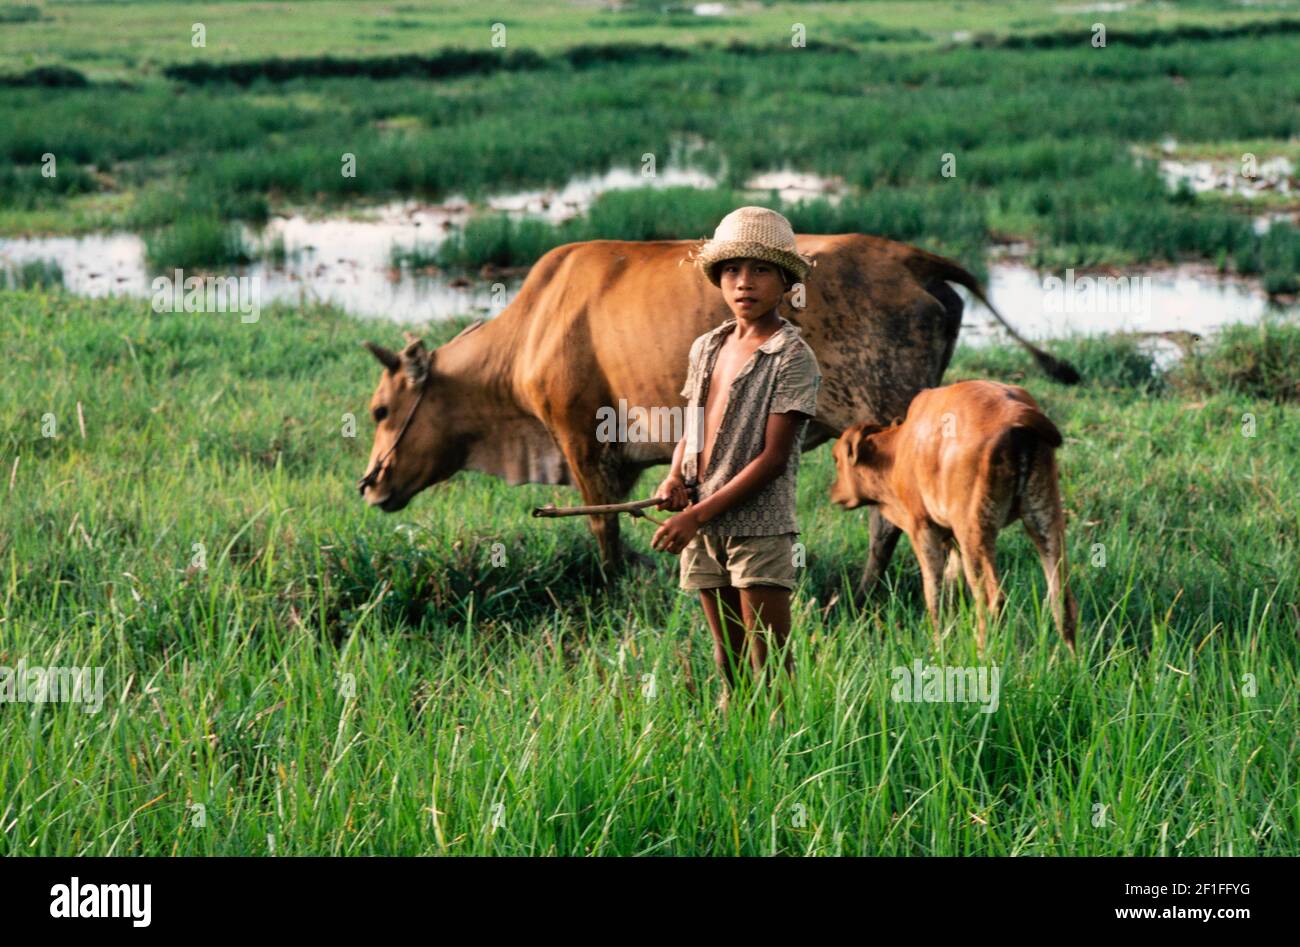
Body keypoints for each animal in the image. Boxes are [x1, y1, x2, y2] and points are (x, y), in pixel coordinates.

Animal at [356, 234, 1076, 585]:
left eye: (381, 409)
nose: (370, 486)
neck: (531, 327)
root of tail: (912, 257)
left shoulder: (579, 437)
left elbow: (604, 530)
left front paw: (617, 586)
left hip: (888, 424)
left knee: (887, 524)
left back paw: (866, 592)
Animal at [832, 379, 1076, 650]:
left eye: (836, 459)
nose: (834, 493)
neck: (898, 450)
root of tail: (1016, 412)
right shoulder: (953, 542)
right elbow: (950, 588)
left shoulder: (922, 529)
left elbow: (934, 592)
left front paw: (938, 645)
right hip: (1044, 518)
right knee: (1062, 600)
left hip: (975, 533)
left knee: (991, 600)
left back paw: (983, 653)